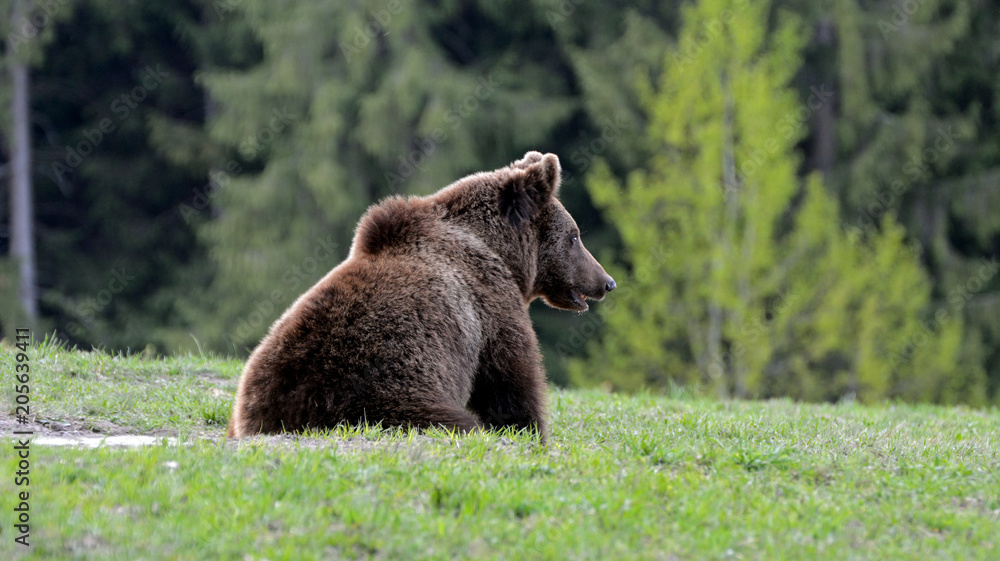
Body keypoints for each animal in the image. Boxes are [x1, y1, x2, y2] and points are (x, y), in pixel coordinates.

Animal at [226, 151, 616, 442]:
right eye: (575, 236)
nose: (607, 281)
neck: (503, 253)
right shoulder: (491, 306)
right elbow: (510, 379)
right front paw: (530, 429)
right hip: (388, 396)